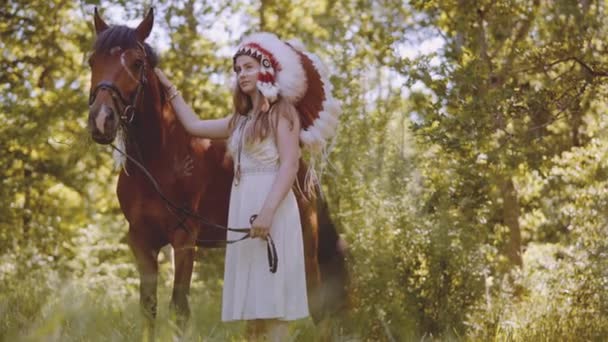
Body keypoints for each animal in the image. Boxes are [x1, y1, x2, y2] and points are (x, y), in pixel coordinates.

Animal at [88, 6, 350, 332]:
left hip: (307, 245)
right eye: (92, 61)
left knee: (317, 305)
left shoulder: (184, 239)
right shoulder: (140, 240)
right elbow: (148, 308)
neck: (158, 161)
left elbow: (180, 308)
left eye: (137, 63)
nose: (101, 120)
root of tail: (305, 173)